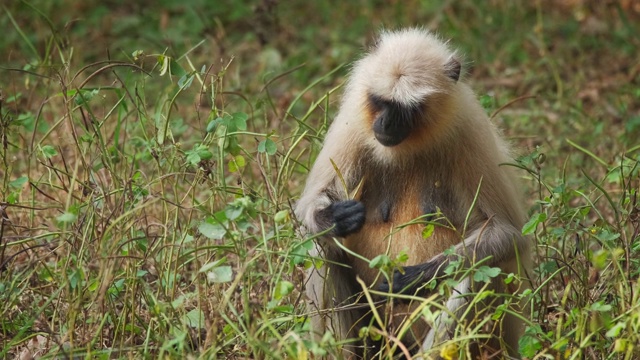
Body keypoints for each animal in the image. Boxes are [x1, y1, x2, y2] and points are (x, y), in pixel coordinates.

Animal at [296, 28, 528, 360]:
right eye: (381, 102)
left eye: (406, 109)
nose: (385, 122)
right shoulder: (354, 124)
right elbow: (310, 206)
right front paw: (335, 218)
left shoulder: (469, 130)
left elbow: (509, 235)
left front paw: (410, 281)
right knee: (319, 243)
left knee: (475, 269)